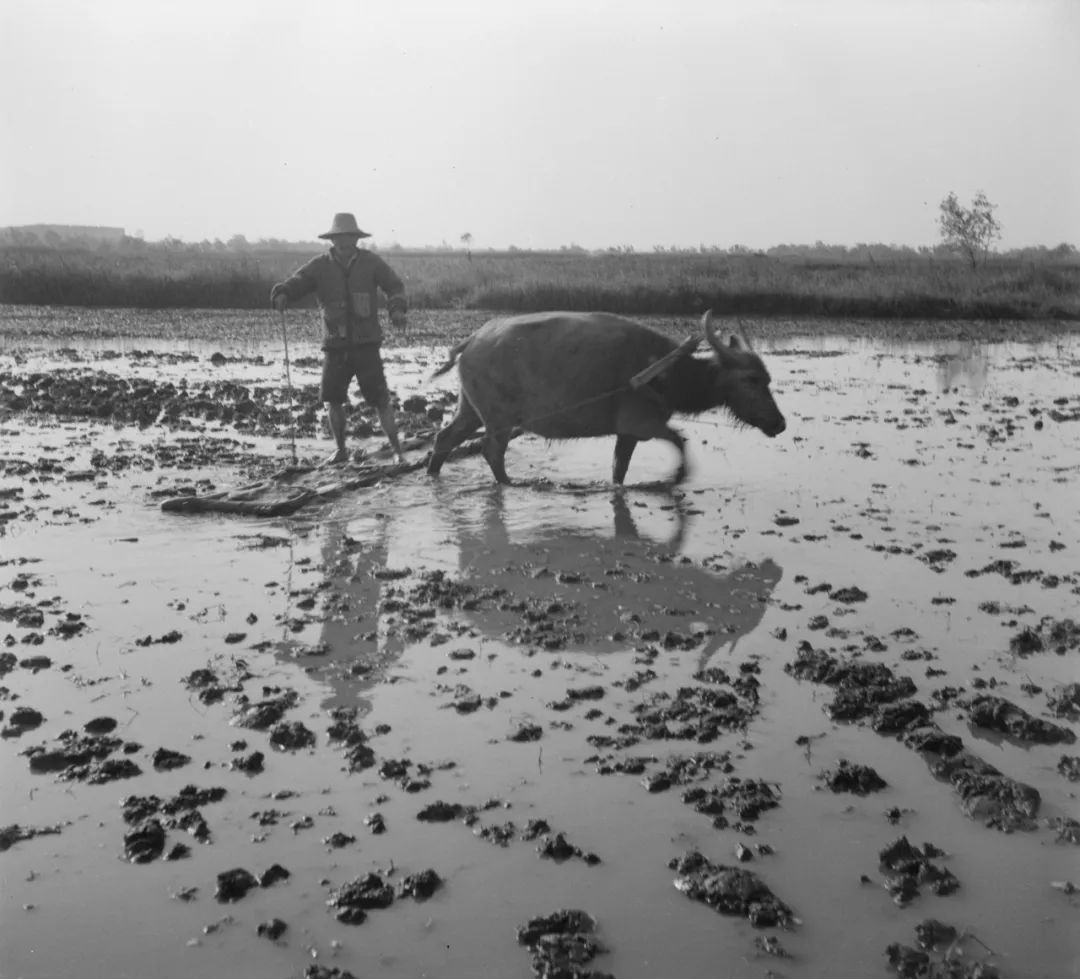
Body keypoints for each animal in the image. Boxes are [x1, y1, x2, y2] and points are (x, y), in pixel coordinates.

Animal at [425, 306, 790, 481]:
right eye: (752, 379)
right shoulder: (642, 424)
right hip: (498, 418)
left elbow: (619, 470)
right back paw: (509, 482)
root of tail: (473, 340)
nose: (779, 423)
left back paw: (433, 474)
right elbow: (680, 442)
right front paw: (677, 477)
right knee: (491, 450)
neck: (666, 372)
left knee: (446, 437)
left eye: (767, 379)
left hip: (470, 409)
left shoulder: (627, 433)